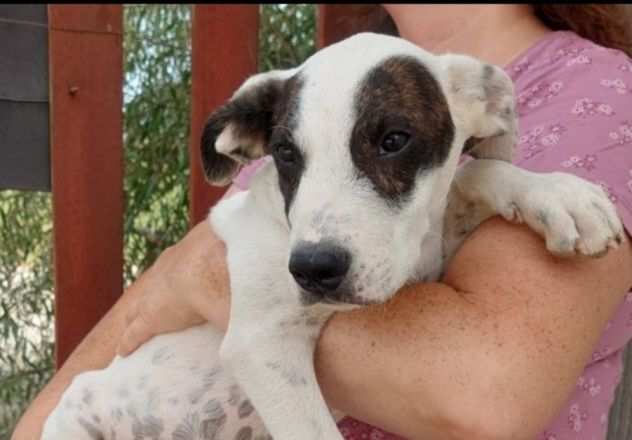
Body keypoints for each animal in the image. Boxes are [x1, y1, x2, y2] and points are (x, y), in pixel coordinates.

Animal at [42, 31, 624, 440]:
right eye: (284, 153)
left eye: (394, 140)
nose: (313, 269)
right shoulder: (262, 343)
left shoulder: (426, 250)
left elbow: (475, 174)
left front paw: (558, 197)